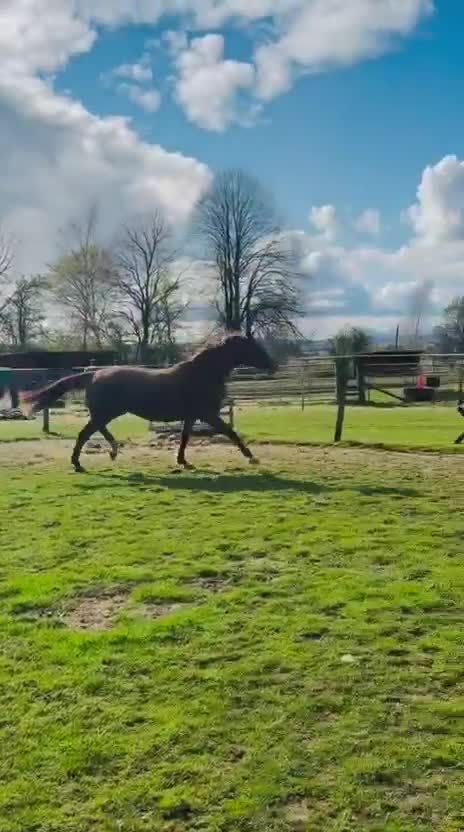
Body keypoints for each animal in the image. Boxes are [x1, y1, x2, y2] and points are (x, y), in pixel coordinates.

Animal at [19, 334, 277, 472]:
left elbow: (185, 438)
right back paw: (83, 462)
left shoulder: (192, 415)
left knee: (96, 430)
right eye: (254, 347)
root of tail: (93, 374)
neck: (202, 374)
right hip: (106, 412)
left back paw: (111, 451)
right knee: (86, 433)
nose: (273, 366)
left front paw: (183, 461)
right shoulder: (208, 414)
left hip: (106, 412)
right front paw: (252, 457)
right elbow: (231, 432)